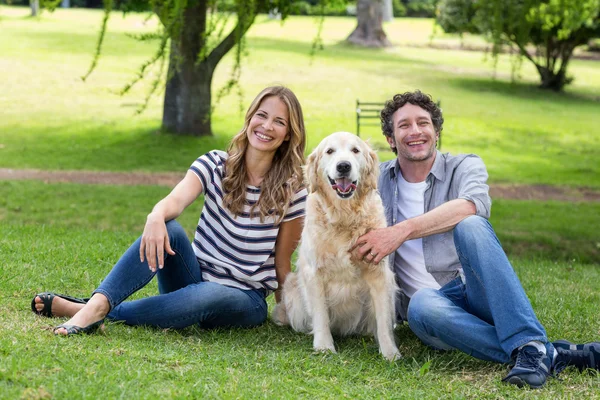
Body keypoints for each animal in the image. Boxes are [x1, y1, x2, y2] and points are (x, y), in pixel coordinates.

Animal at [270, 133, 398, 360]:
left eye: (355, 150)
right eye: (329, 151)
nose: (344, 166)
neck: (343, 217)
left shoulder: (379, 272)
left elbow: (383, 319)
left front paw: (390, 352)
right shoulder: (314, 273)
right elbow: (321, 314)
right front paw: (324, 346)